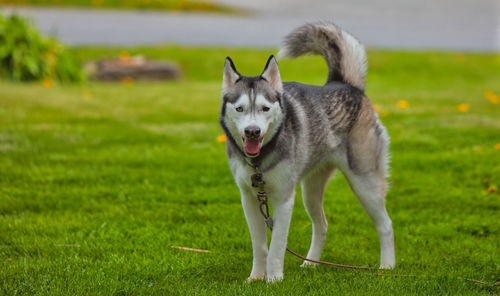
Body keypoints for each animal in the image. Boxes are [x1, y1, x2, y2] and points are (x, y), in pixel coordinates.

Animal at [219, 22, 394, 280]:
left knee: (386, 225)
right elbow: (260, 246)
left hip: (365, 184)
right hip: (310, 192)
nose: (252, 131)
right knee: (322, 225)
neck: (259, 160)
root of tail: (345, 84)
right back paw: (311, 264)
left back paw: (387, 267)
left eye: (265, 108)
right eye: (240, 108)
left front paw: (274, 279)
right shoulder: (249, 199)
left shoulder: (284, 199)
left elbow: (276, 247)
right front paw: (256, 277)